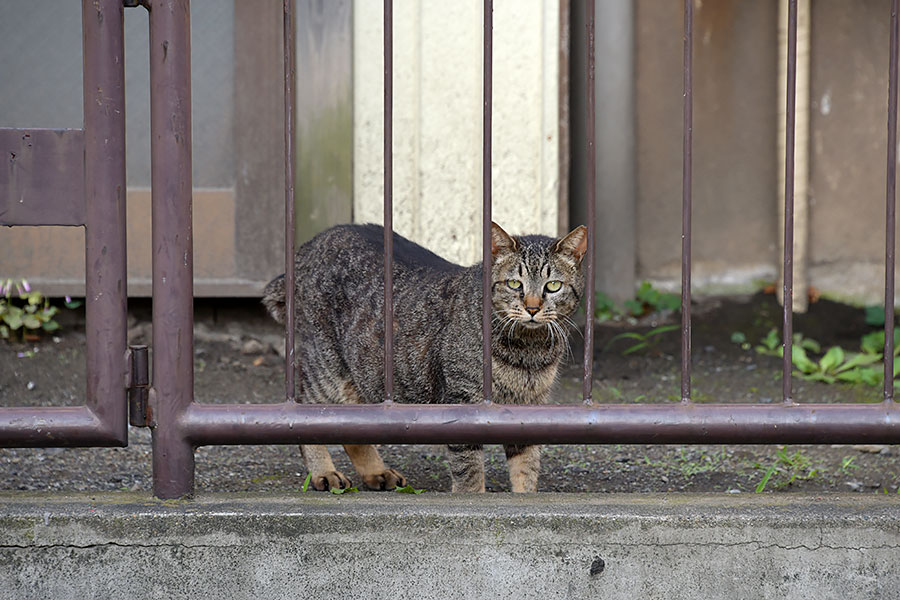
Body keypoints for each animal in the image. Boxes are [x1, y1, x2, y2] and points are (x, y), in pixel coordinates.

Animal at [262, 221, 584, 492]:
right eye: (515, 284)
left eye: (553, 286)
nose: (532, 307)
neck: (528, 351)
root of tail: (312, 244)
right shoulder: (463, 403)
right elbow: (470, 475)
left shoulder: (528, 409)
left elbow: (526, 470)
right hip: (325, 369)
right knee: (308, 411)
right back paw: (323, 472)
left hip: (364, 372)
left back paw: (375, 471)